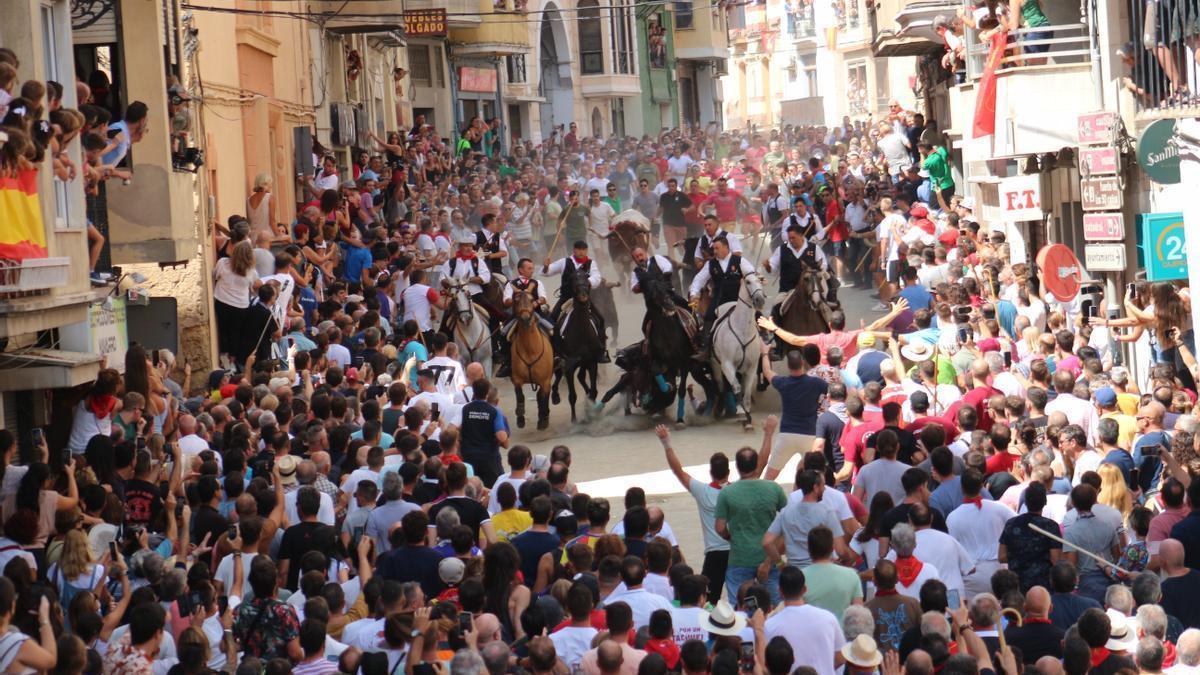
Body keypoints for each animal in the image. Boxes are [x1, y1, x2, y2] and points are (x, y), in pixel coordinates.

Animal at [511, 285, 556, 427]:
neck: (530, 350)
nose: (525, 319)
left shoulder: (545, 381)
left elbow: (544, 397)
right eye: (516, 301)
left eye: (532, 300)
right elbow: (519, 395)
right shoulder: (517, 379)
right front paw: (520, 417)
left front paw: (543, 420)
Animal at [554, 267, 609, 420]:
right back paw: (555, 396)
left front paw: (592, 411)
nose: (583, 296)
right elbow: (572, 396)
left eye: (586, 277)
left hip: (584, 362)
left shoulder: (592, 361)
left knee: (581, 377)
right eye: (572, 278)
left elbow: (594, 391)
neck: (582, 332)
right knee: (559, 373)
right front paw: (574, 419)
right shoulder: (569, 365)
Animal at [705, 275, 763, 427]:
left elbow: (746, 392)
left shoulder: (752, 367)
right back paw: (720, 409)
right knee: (720, 386)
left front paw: (748, 415)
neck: (743, 330)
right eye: (748, 281)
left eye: (760, 280)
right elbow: (736, 388)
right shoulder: (727, 364)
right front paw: (741, 412)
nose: (760, 299)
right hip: (715, 365)